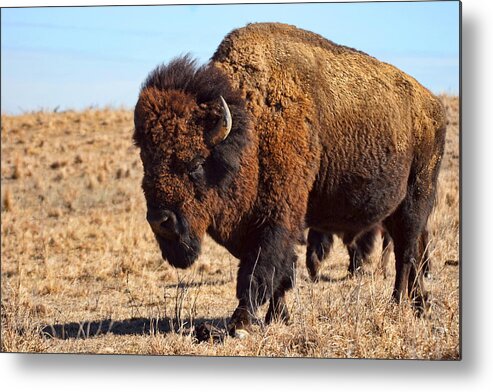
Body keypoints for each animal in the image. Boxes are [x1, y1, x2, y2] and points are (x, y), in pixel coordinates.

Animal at [134, 22, 446, 336]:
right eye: (146, 161)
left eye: (196, 163)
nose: (160, 220)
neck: (251, 128)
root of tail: (433, 106)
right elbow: (281, 275)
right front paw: (278, 317)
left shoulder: (277, 219)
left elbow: (258, 271)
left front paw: (240, 322)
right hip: (396, 211)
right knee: (413, 252)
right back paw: (420, 305)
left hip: (416, 199)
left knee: (406, 254)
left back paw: (398, 304)